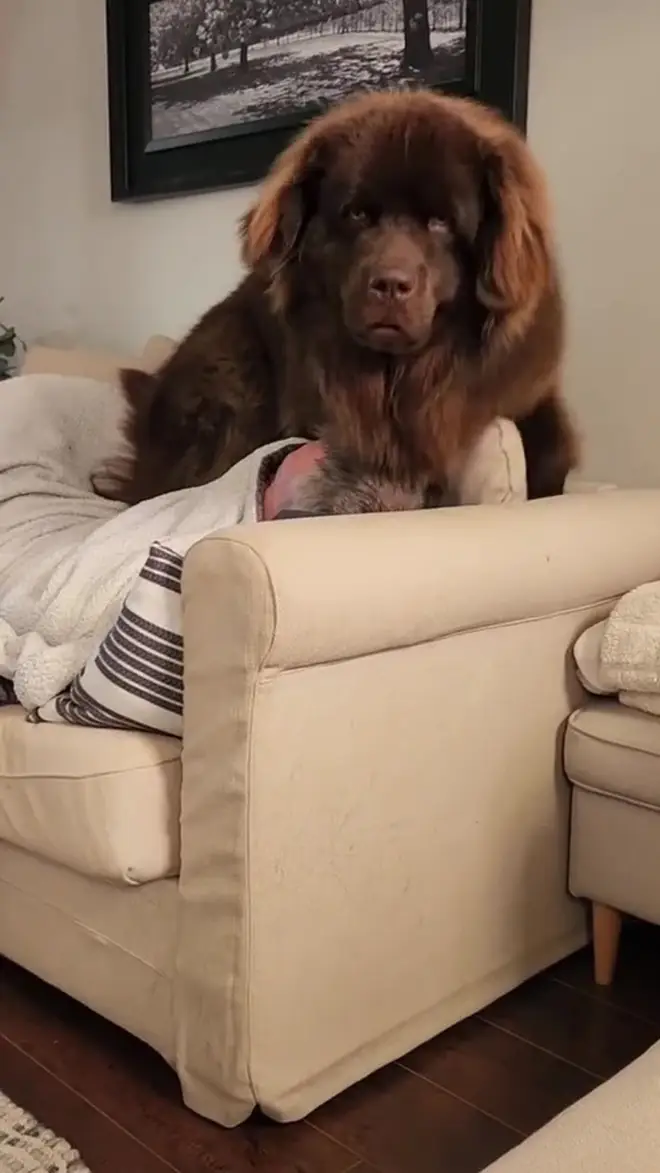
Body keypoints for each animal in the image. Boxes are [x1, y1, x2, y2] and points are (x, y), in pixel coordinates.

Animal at [100, 89, 581, 511]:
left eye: (441, 222)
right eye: (358, 214)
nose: (391, 283)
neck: (400, 378)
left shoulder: (521, 385)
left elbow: (553, 449)